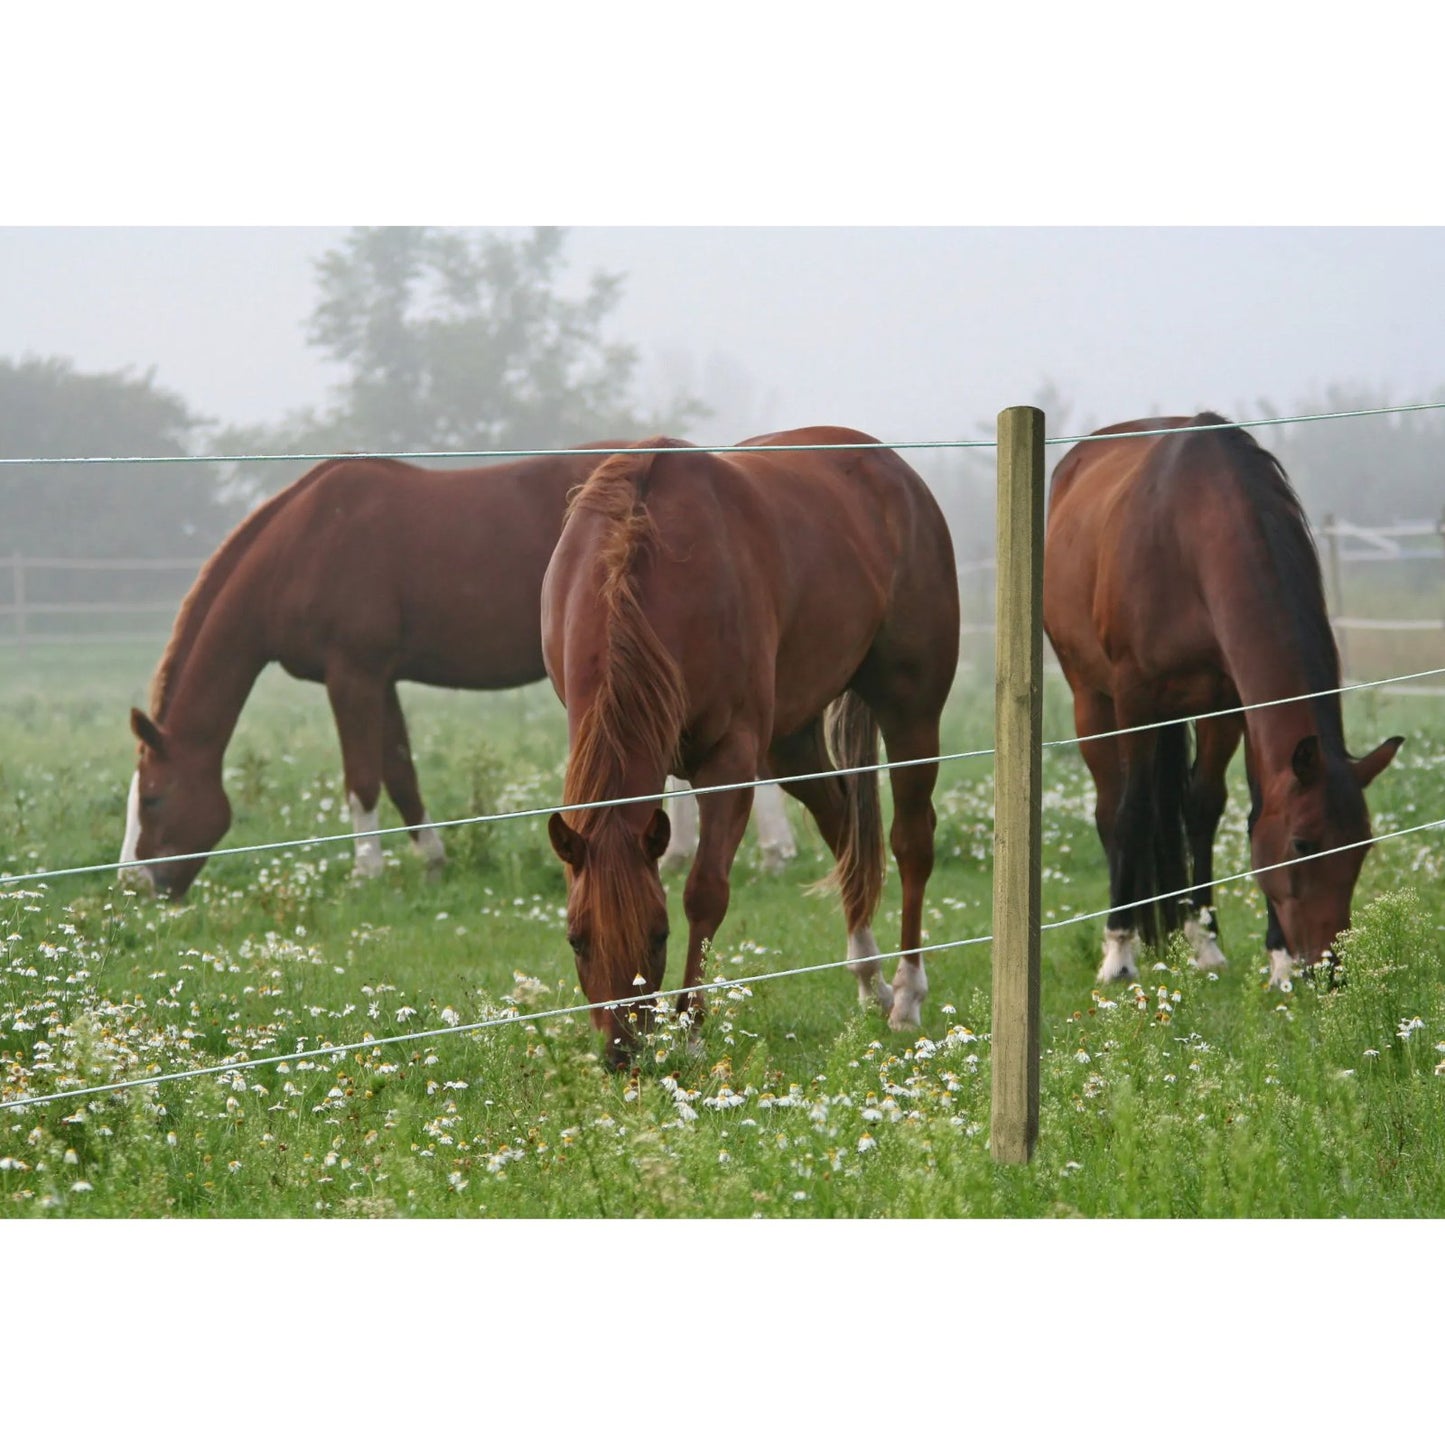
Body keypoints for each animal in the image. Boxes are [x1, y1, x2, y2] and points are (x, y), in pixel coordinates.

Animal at [120, 447, 799, 899]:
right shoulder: (380, 679)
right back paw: (680, 851)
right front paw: (432, 859)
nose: (135, 882)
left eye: (152, 799)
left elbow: (362, 779)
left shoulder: (352, 675)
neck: (305, 545)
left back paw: (773, 852)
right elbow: (400, 772)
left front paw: (367, 872)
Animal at [541, 428, 960, 1064]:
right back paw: (869, 980)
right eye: (576, 940)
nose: (622, 1053)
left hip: (910, 711)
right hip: (790, 741)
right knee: (843, 822)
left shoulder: (730, 762)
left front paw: (691, 1029)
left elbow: (705, 892)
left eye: (658, 936)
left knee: (911, 841)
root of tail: (896, 471)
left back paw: (907, 995)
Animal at [1042, 413, 1403, 990]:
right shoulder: (1134, 698)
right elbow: (1133, 813)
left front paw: (1257, 954)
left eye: (1363, 846)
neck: (1191, 533)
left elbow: (1223, 807)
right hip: (1091, 699)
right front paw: (1118, 953)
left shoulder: (1231, 702)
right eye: (1303, 844)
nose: (1329, 970)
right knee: (1111, 806)